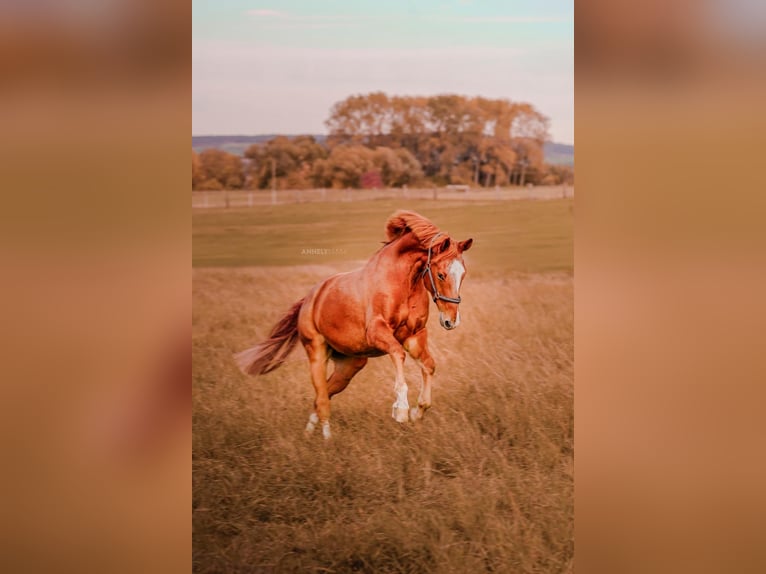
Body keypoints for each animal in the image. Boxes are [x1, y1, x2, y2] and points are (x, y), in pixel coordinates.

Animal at [234, 210, 473, 439]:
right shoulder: (377, 332)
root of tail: (310, 298)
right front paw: (401, 410)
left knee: (322, 395)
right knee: (322, 400)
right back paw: (327, 441)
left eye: (463, 274)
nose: (451, 321)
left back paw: (308, 435)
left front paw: (417, 411)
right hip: (317, 354)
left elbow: (429, 366)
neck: (402, 282)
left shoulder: (414, 335)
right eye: (441, 274)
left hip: (349, 366)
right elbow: (398, 354)